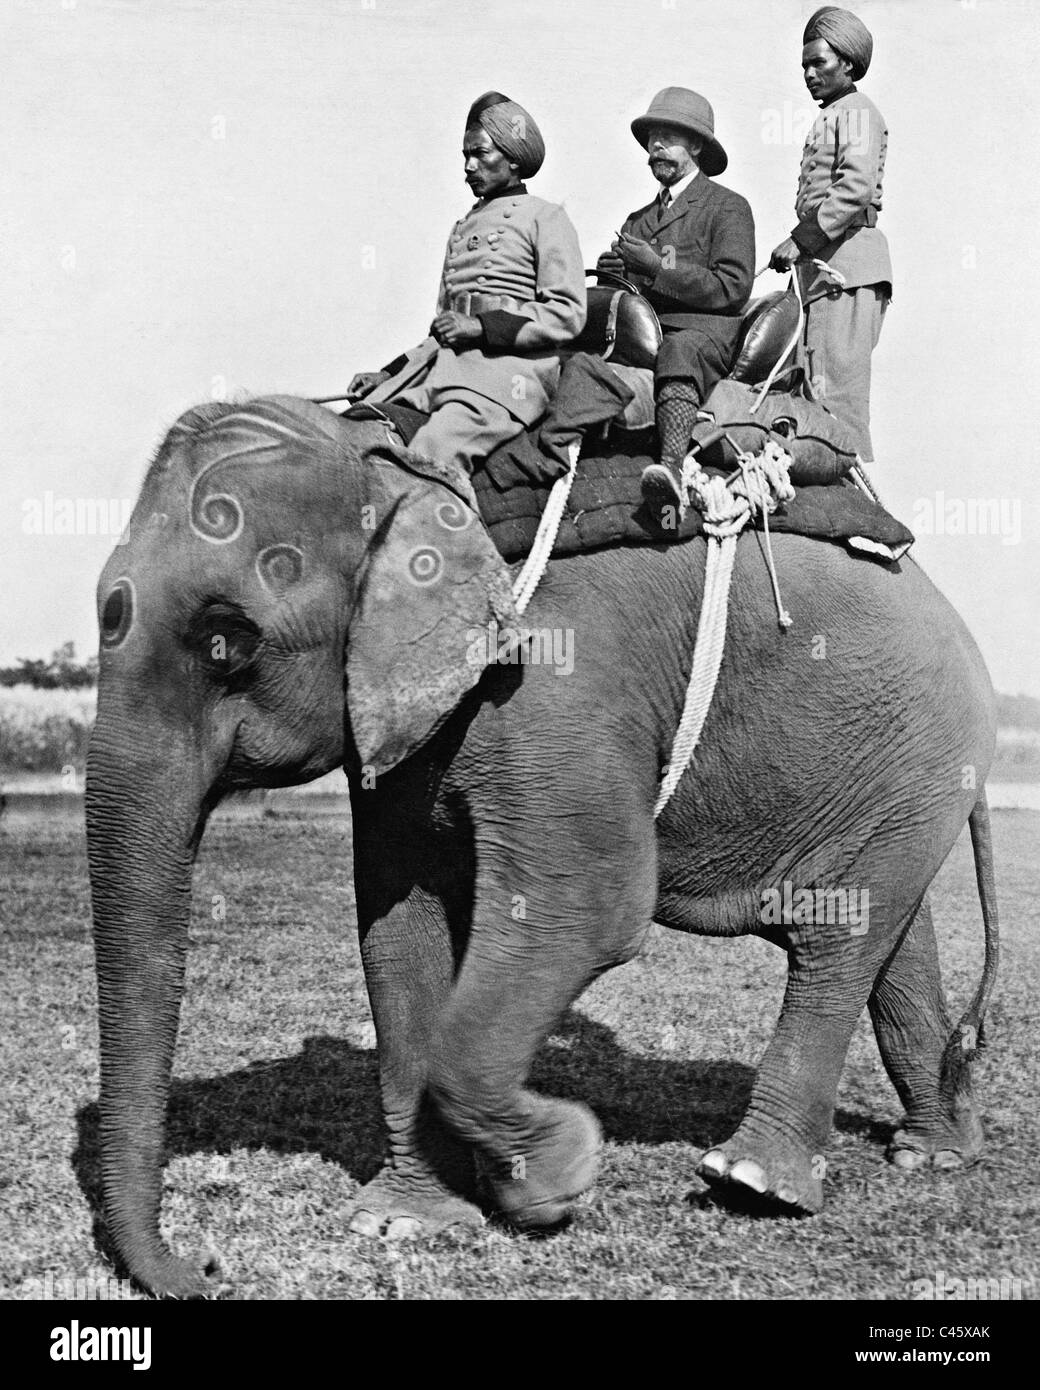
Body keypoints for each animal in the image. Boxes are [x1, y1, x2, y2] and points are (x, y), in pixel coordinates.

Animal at [87, 389, 1001, 1289]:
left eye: (228, 642)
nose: (207, 1267)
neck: (399, 467)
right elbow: (400, 928)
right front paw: (409, 1223)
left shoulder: (555, 684)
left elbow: (587, 914)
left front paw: (557, 1177)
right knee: (888, 933)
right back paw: (934, 1154)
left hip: (921, 744)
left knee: (837, 935)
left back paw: (754, 1182)